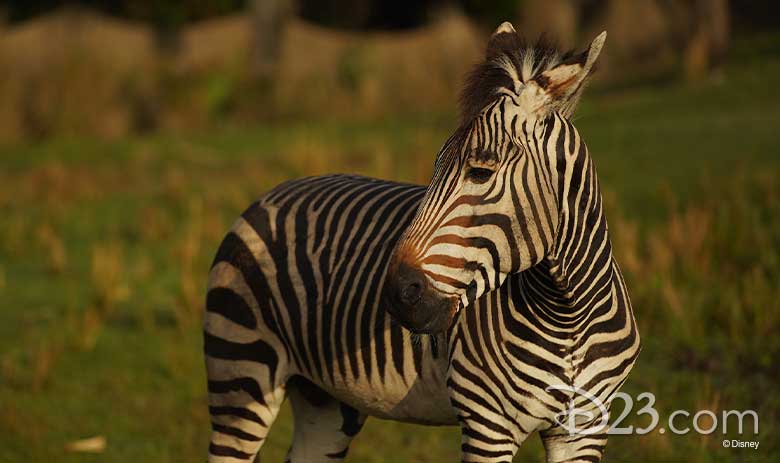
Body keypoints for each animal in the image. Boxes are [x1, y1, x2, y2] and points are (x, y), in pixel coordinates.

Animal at [204, 22, 636, 463]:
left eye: (481, 171)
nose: (396, 296)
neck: (567, 313)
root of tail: (274, 192)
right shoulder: (488, 426)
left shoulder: (584, 429)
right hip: (240, 371)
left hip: (324, 399)